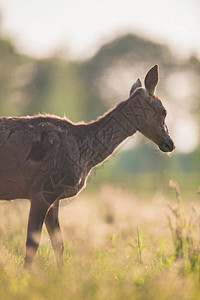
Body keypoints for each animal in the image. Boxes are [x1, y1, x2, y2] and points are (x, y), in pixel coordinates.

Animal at [0, 65, 174, 268]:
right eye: (164, 111)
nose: (170, 143)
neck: (84, 151)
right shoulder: (42, 188)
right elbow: (31, 246)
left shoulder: (55, 197)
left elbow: (59, 244)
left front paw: (60, 274)